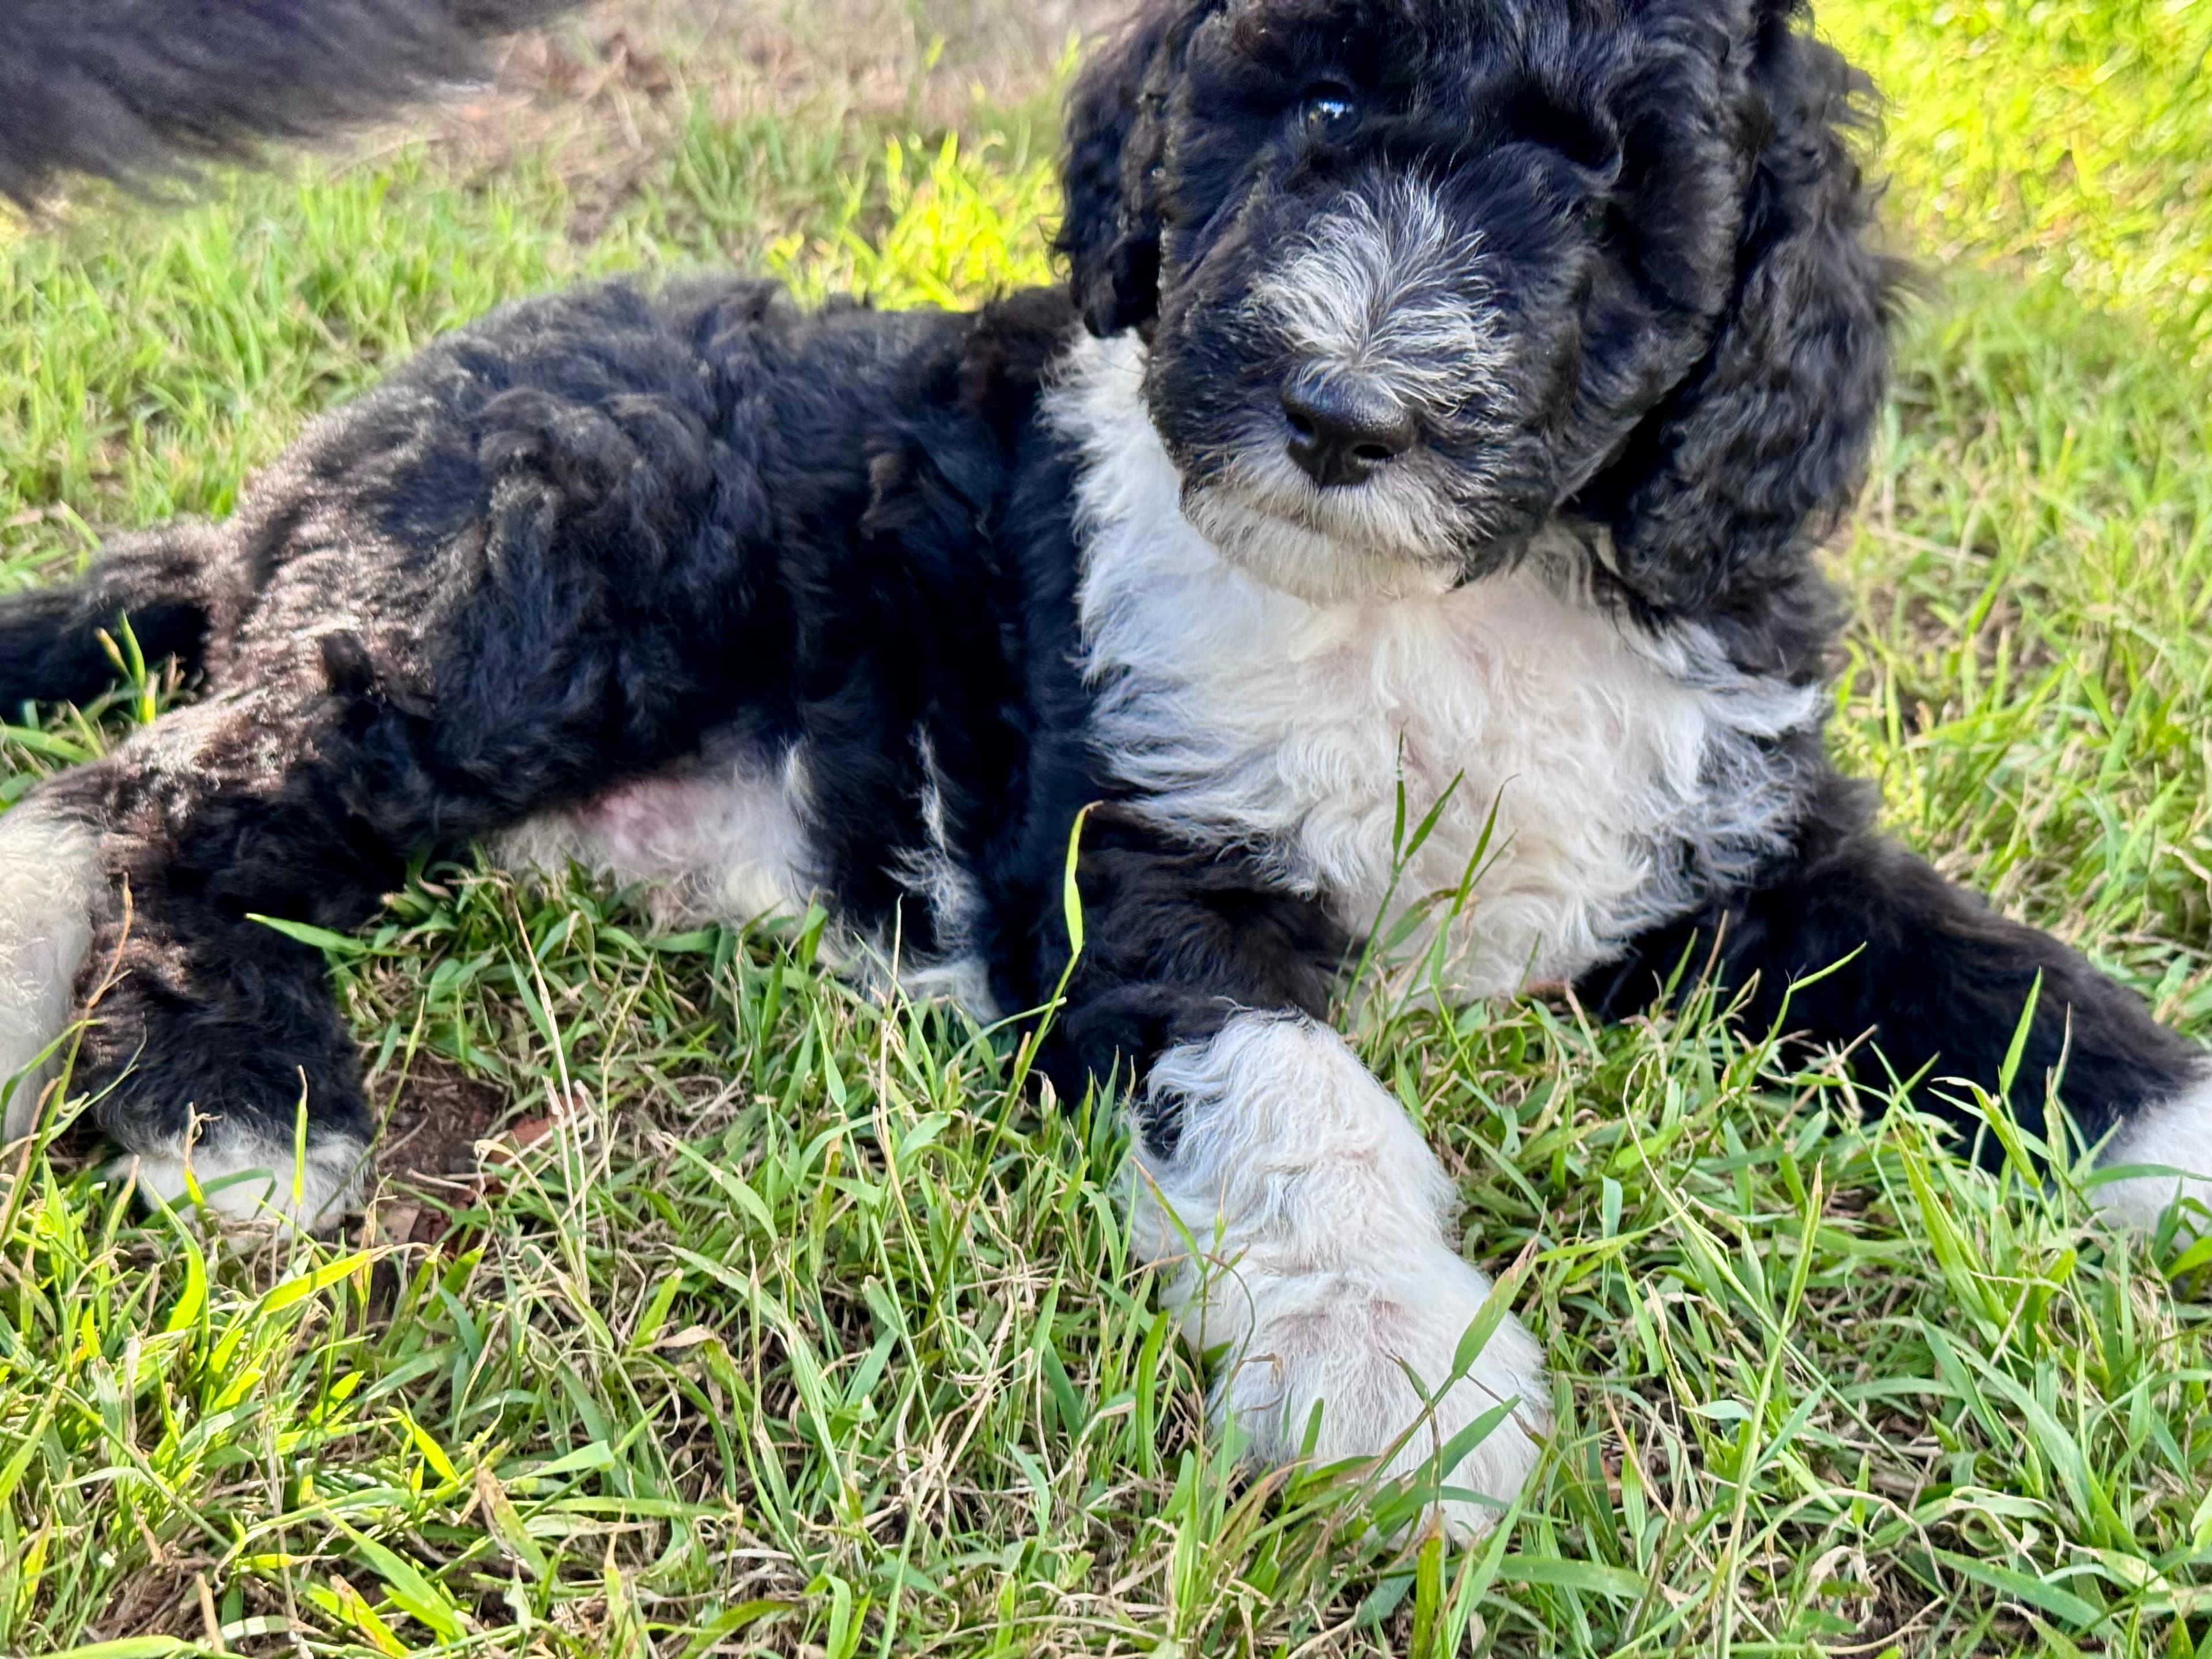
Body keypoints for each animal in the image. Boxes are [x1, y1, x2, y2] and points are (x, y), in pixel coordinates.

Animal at [4, 0, 2212, 1539]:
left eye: (1603, 186)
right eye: (1313, 108)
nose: (1339, 412)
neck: (1425, 606)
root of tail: (305, 475)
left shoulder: (1739, 829)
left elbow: (1989, 978)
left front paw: (2172, 1140)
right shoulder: (1132, 855)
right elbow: (1289, 1096)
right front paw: (1388, 1364)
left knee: (122, 779)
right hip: (535, 584)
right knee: (180, 798)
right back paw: (231, 1094)